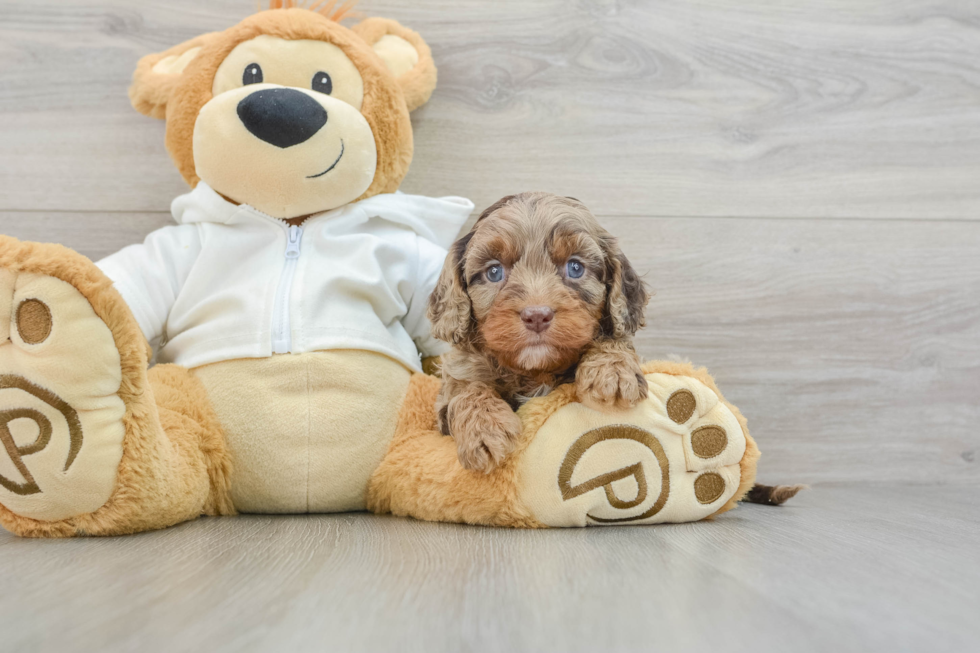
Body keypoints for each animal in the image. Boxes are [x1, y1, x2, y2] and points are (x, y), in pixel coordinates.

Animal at [424, 191, 648, 472]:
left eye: (575, 267)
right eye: (494, 271)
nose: (537, 316)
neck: (534, 372)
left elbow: (615, 336)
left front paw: (612, 371)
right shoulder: (453, 385)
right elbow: (466, 391)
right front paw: (485, 428)